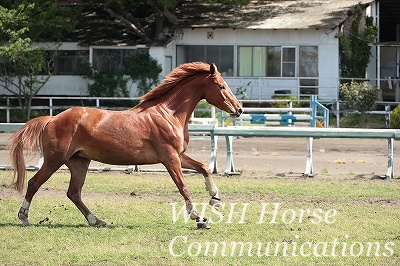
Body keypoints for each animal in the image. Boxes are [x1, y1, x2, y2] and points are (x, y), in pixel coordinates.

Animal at [7, 62, 242, 229]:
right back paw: (24, 217)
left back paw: (97, 221)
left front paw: (215, 198)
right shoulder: (170, 158)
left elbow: (203, 167)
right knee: (34, 183)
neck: (169, 113)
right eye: (221, 86)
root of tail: (51, 119)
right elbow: (183, 186)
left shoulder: (178, 155)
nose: (239, 109)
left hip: (79, 162)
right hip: (55, 160)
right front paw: (199, 218)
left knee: (74, 193)